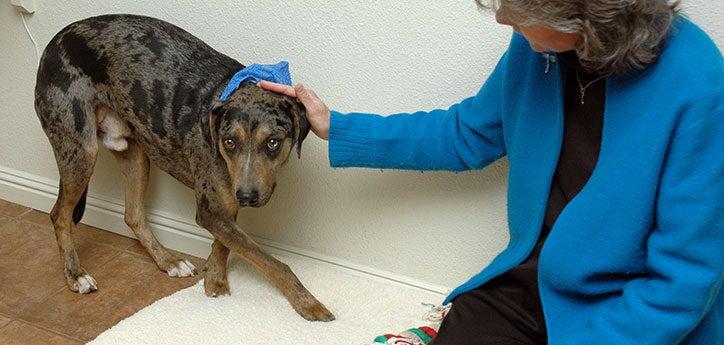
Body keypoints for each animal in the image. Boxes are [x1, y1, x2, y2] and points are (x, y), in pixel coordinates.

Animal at [35, 13, 336, 320]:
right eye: (229, 141)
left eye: (273, 142)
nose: (247, 196)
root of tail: (53, 43)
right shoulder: (211, 208)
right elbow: (273, 263)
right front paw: (308, 303)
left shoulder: (224, 203)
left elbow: (225, 242)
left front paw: (215, 279)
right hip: (80, 152)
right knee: (59, 215)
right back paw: (75, 275)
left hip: (135, 153)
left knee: (133, 215)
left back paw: (168, 261)